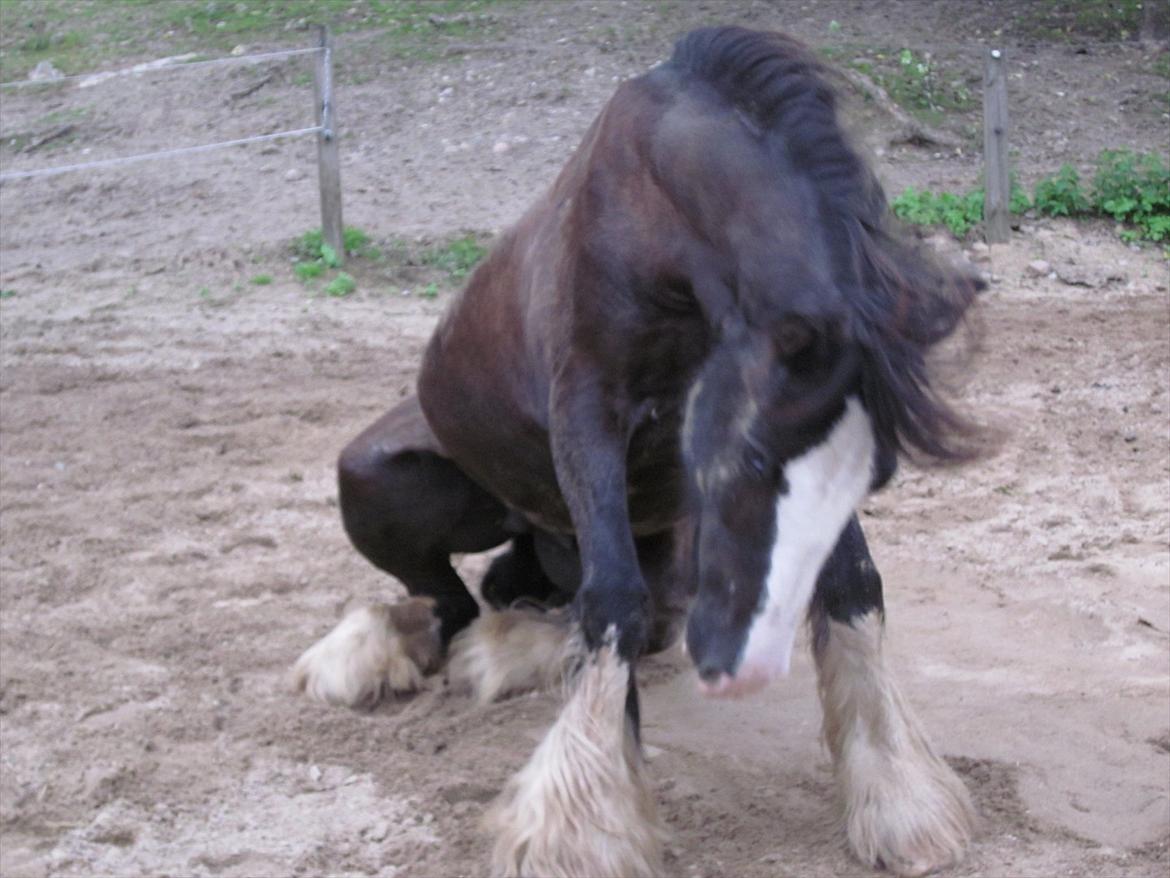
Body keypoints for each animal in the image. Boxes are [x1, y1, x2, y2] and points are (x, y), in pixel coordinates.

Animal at [290, 27, 978, 878]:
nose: (745, 661)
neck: (660, 226)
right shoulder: (589, 415)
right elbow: (613, 600)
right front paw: (581, 832)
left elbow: (851, 583)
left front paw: (898, 797)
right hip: (371, 478)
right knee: (455, 604)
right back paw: (366, 658)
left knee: (530, 604)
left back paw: (505, 650)